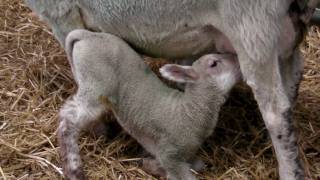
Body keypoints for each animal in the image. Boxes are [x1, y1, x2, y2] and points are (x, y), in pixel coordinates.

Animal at [58, 28, 240, 179]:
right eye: (214, 63)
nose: (238, 60)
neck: (190, 110)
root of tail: (87, 35)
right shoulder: (170, 154)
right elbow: (182, 174)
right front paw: (152, 166)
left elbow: (199, 165)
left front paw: (149, 163)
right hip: (96, 82)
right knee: (68, 118)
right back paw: (74, 169)